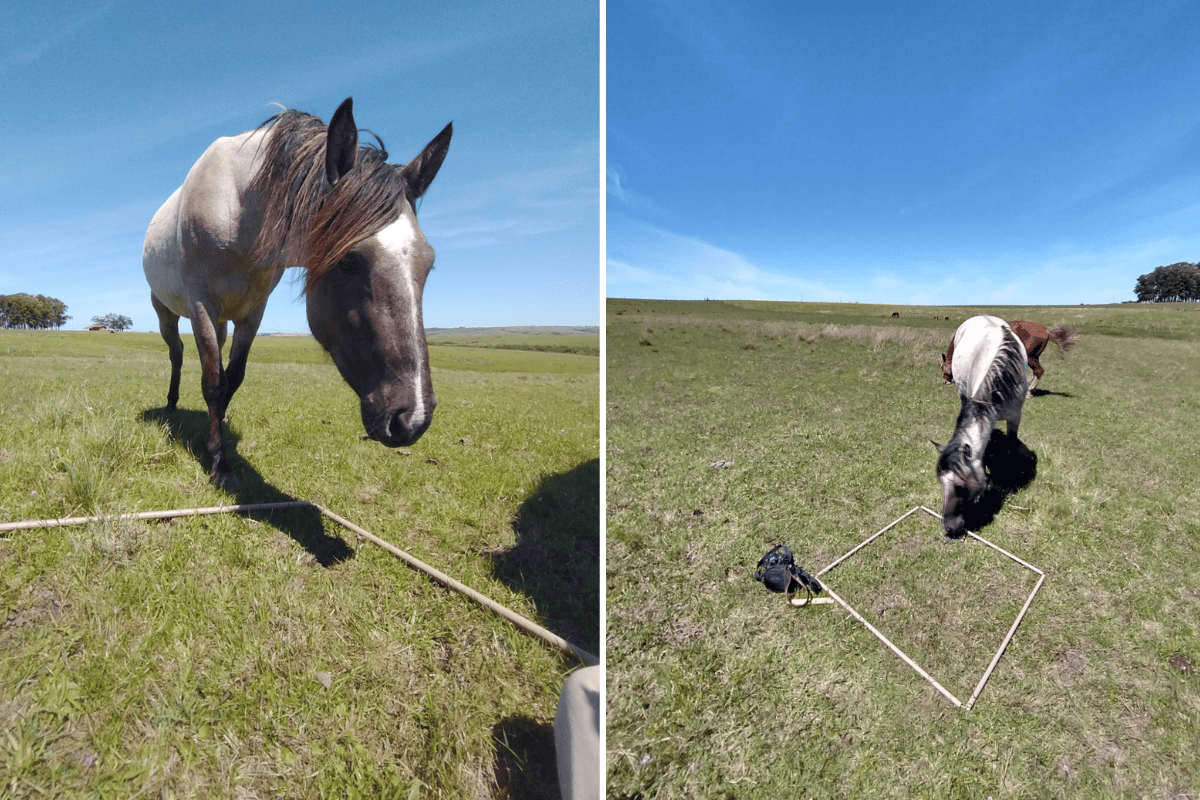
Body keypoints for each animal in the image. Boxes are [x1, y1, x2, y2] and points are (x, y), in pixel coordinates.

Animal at [142, 98, 451, 489]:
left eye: (429, 264)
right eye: (348, 261)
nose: (412, 420)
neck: (239, 208)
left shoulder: (252, 313)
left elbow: (232, 379)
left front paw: (220, 436)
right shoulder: (201, 306)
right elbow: (213, 382)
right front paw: (219, 463)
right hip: (165, 311)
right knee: (177, 353)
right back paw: (171, 402)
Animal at [945, 316, 1080, 395]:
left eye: (942, 367)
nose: (945, 381)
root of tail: (1045, 330)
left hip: (1030, 357)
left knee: (1039, 371)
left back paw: (1029, 391)